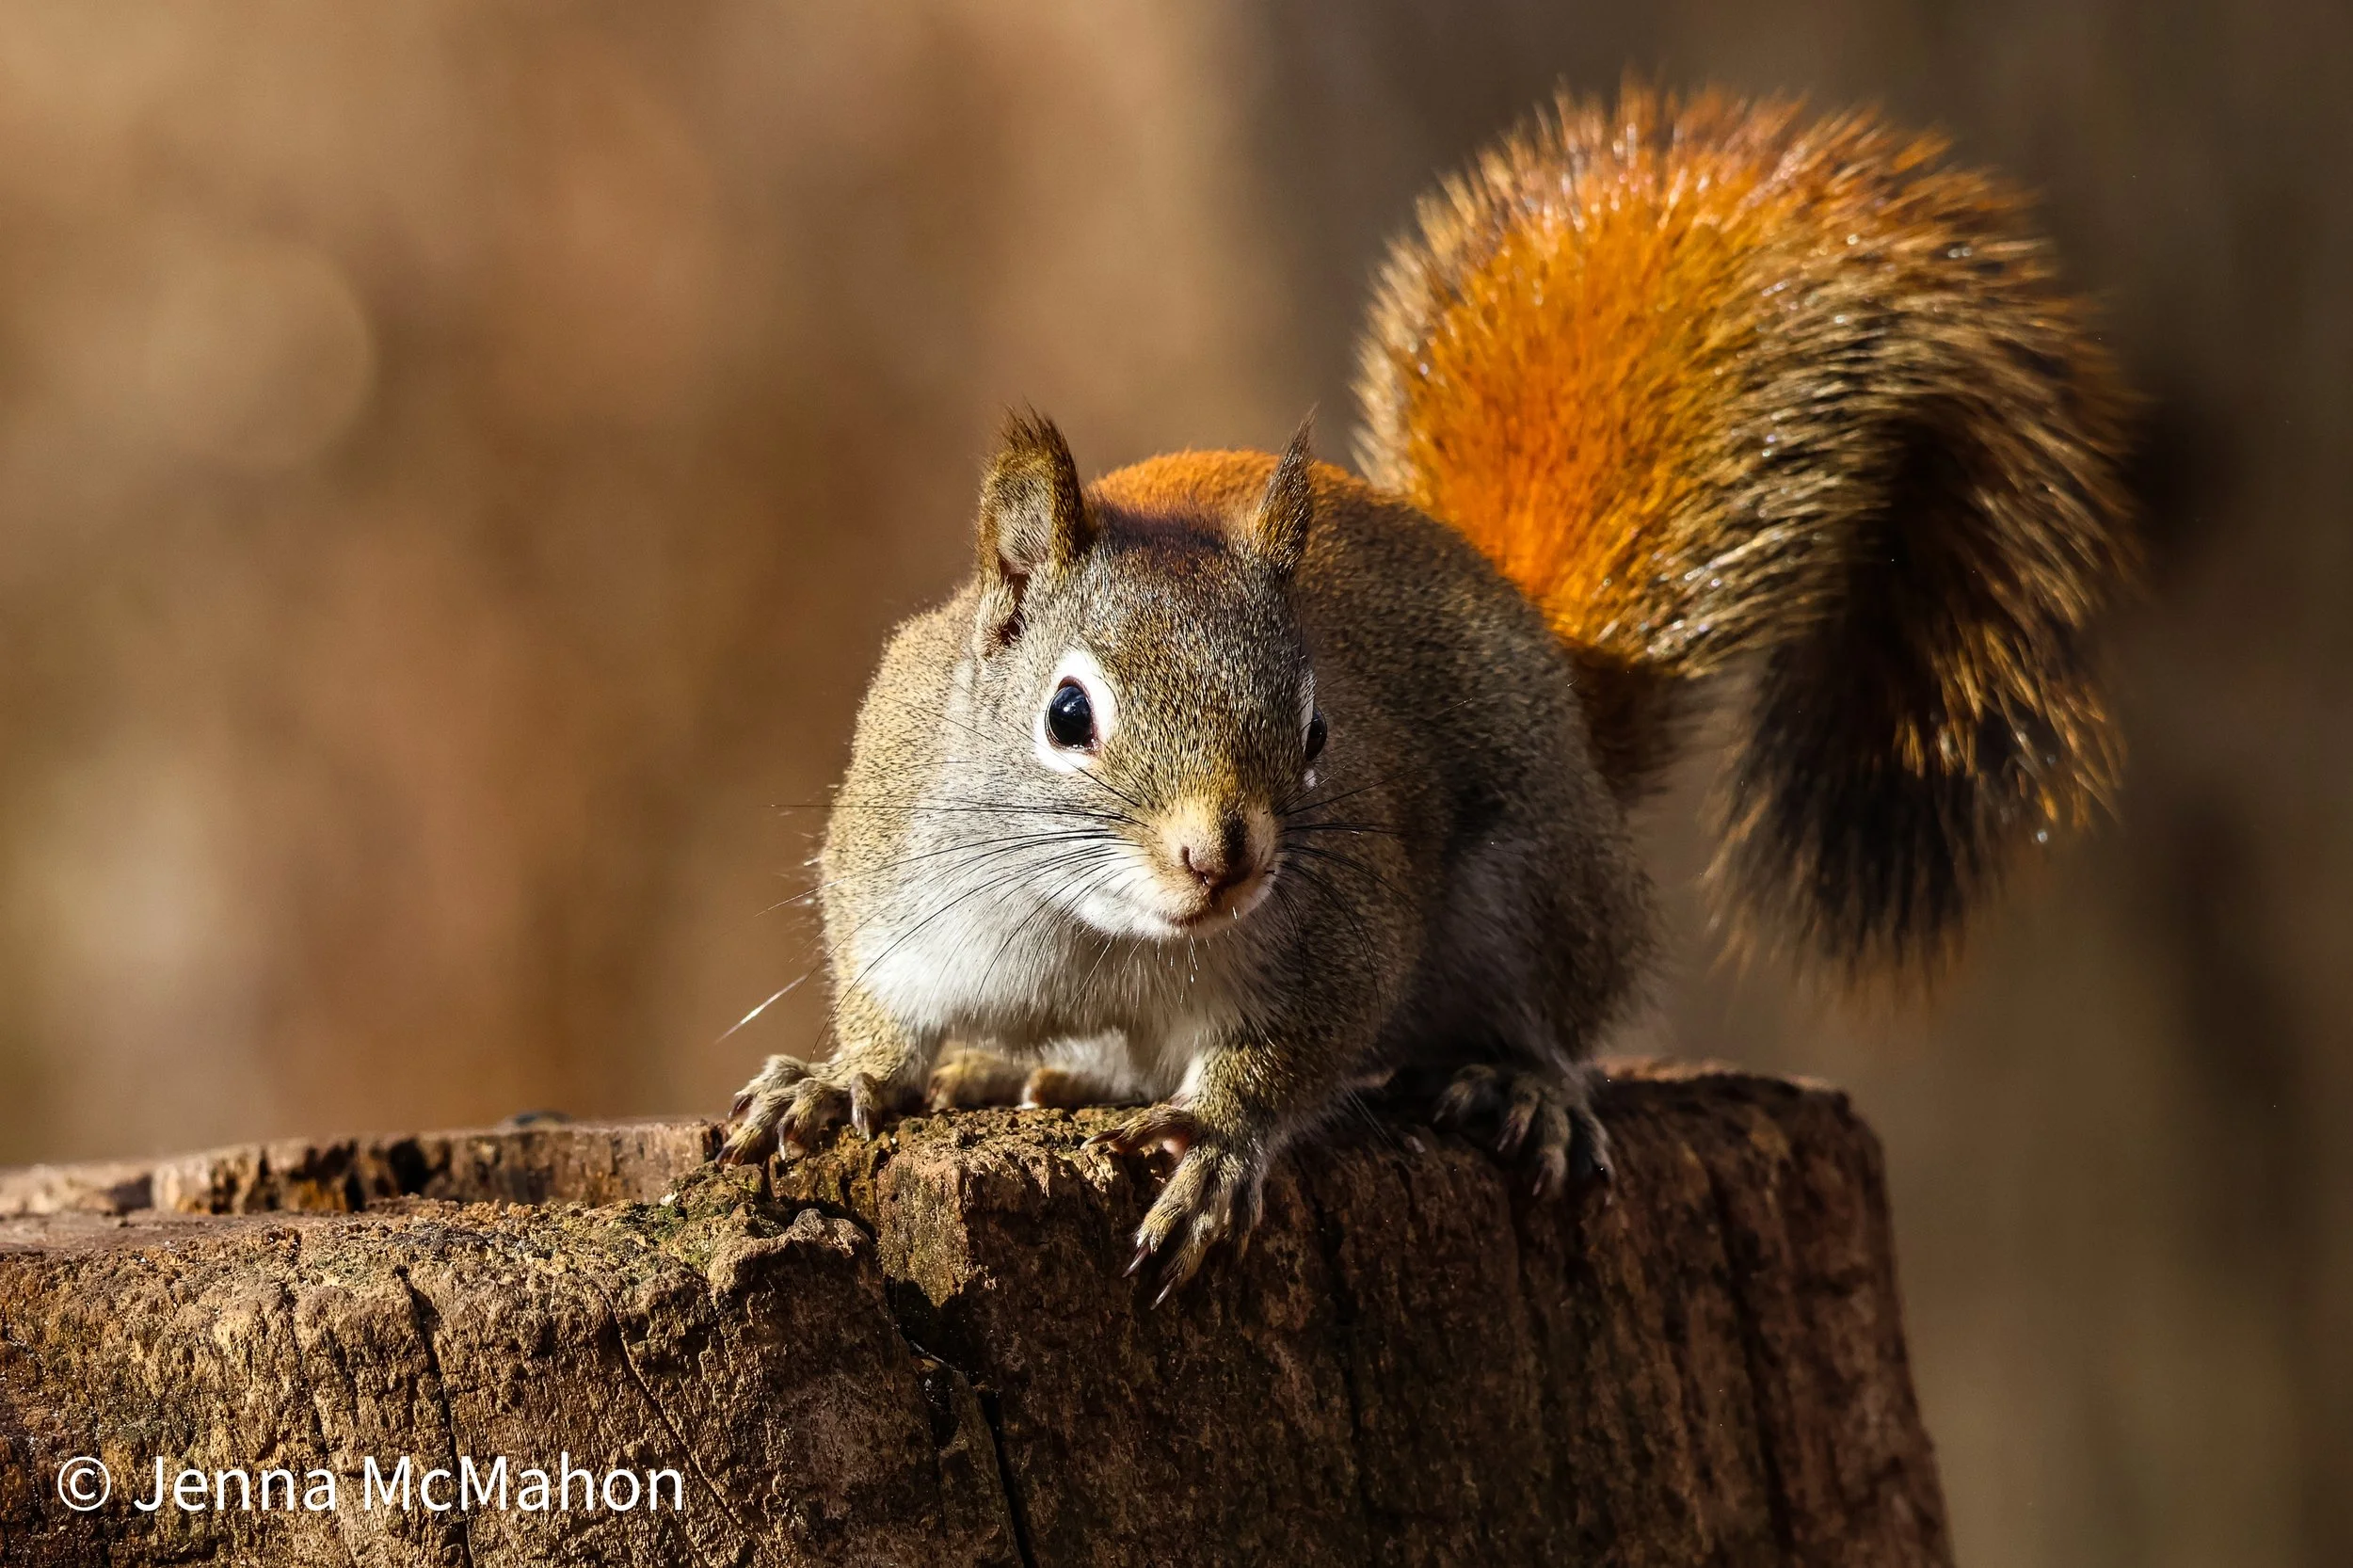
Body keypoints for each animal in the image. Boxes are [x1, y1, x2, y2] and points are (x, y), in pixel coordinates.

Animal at [717, 84, 2135, 1300]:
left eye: (1315, 729)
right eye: (1066, 716)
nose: (1225, 856)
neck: (1104, 936)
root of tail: (1570, 705)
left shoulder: (1348, 918)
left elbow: (1293, 1050)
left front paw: (1218, 1144)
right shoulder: (894, 878)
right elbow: (884, 1010)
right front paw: (838, 1081)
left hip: (1538, 895)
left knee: (1555, 1016)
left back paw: (1523, 1087)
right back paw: (1028, 1077)